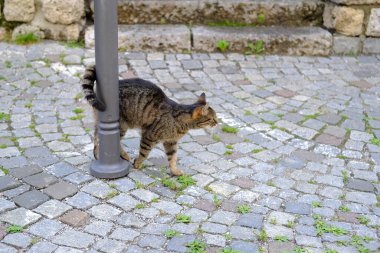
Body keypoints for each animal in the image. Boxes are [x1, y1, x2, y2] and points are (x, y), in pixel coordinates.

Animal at [81, 66, 218, 175]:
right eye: (212, 118)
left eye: (215, 118)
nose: (217, 123)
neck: (181, 121)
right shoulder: (149, 136)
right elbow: (144, 153)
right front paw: (138, 163)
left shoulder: (170, 142)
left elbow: (172, 158)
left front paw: (175, 171)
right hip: (121, 125)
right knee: (105, 139)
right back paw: (118, 155)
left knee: (96, 137)